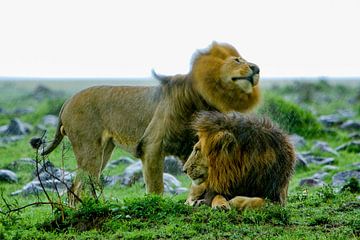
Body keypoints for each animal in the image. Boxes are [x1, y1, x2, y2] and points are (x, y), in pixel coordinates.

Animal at [39, 41, 260, 202]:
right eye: (237, 60)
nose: (256, 68)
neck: (201, 99)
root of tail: (67, 101)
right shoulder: (152, 145)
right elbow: (156, 187)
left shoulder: (189, 147)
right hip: (89, 149)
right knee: (82, 184)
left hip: (104, 150)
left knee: (77, 185)